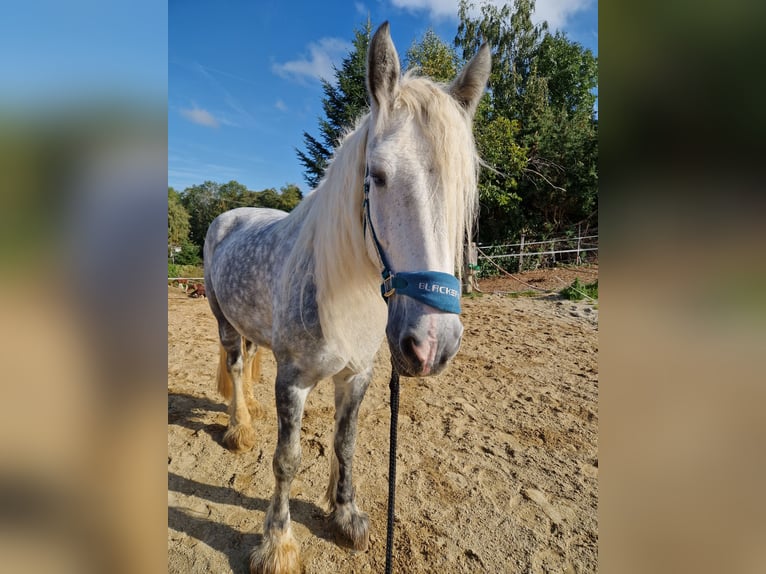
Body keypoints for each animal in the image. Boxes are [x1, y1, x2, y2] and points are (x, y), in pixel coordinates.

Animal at [202, 20, 492, 572]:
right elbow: (287, 460)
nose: (431, 344)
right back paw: (240, 429)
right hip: (223, 322)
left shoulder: (358, 374)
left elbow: (346, 443)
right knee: (234, 363)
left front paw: (346, 514)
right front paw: (277, 544)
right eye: (376, 176)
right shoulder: (293, 380)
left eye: (464, 190)